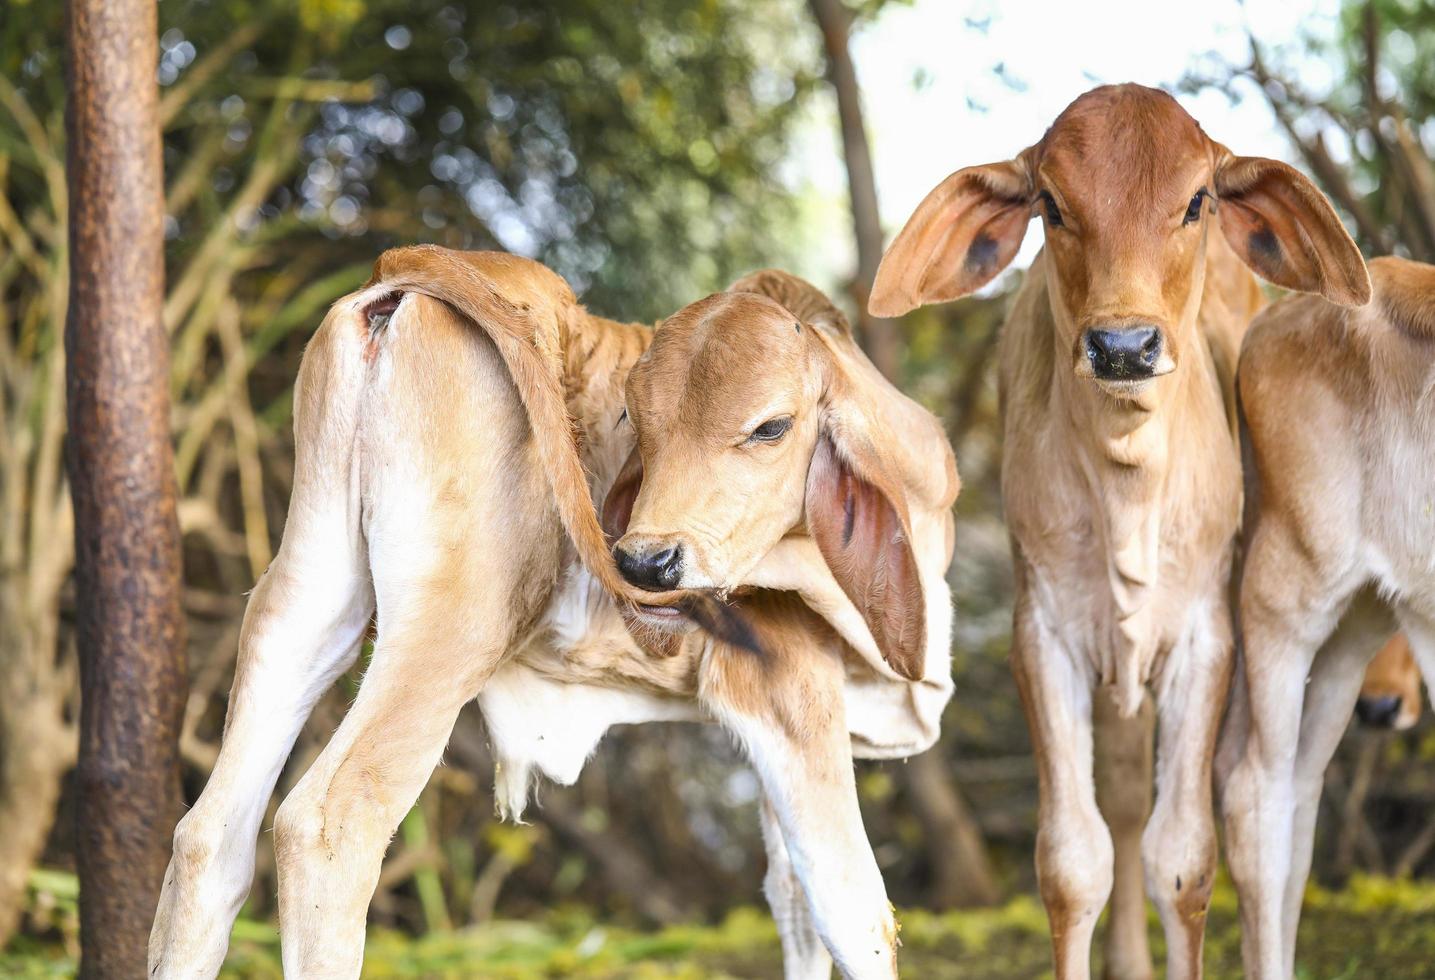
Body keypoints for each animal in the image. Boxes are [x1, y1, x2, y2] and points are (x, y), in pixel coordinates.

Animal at [145, 246, 958, 980]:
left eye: (771, 427)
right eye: (635, 418)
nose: (646, 564)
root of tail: (407, 276)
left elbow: (794, 908)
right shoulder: (791, 692)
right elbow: (856, 916)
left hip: (307, 600)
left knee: (206, 840)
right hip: (454, 627)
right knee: (325, 824)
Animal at [872, 86, 1366, 980]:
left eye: (1196, 201)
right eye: (1051, 204)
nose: (1123, 346)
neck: (1126, 483)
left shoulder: (1207, 637)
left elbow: (1183, 858)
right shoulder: (1043, 636)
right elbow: (1073, 862)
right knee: (1125, 805)